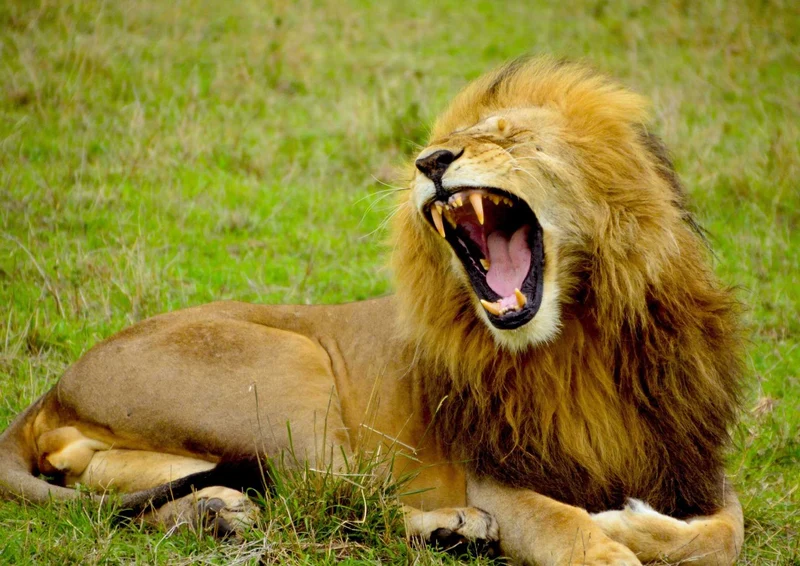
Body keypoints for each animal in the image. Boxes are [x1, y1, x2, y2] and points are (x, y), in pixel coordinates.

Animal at [0, 57, 744, 565]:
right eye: (452, 138)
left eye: (509, 137)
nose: (431, 160)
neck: (579, 339)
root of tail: (56, 385)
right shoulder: (495, 476)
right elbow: (566, 525)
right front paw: (608, 535)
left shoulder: (691, 459)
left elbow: (724, 532)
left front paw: (633, 522)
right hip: (292, 368)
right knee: (332, 502)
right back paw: (449, 528)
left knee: (108, 483)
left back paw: (216, 511)